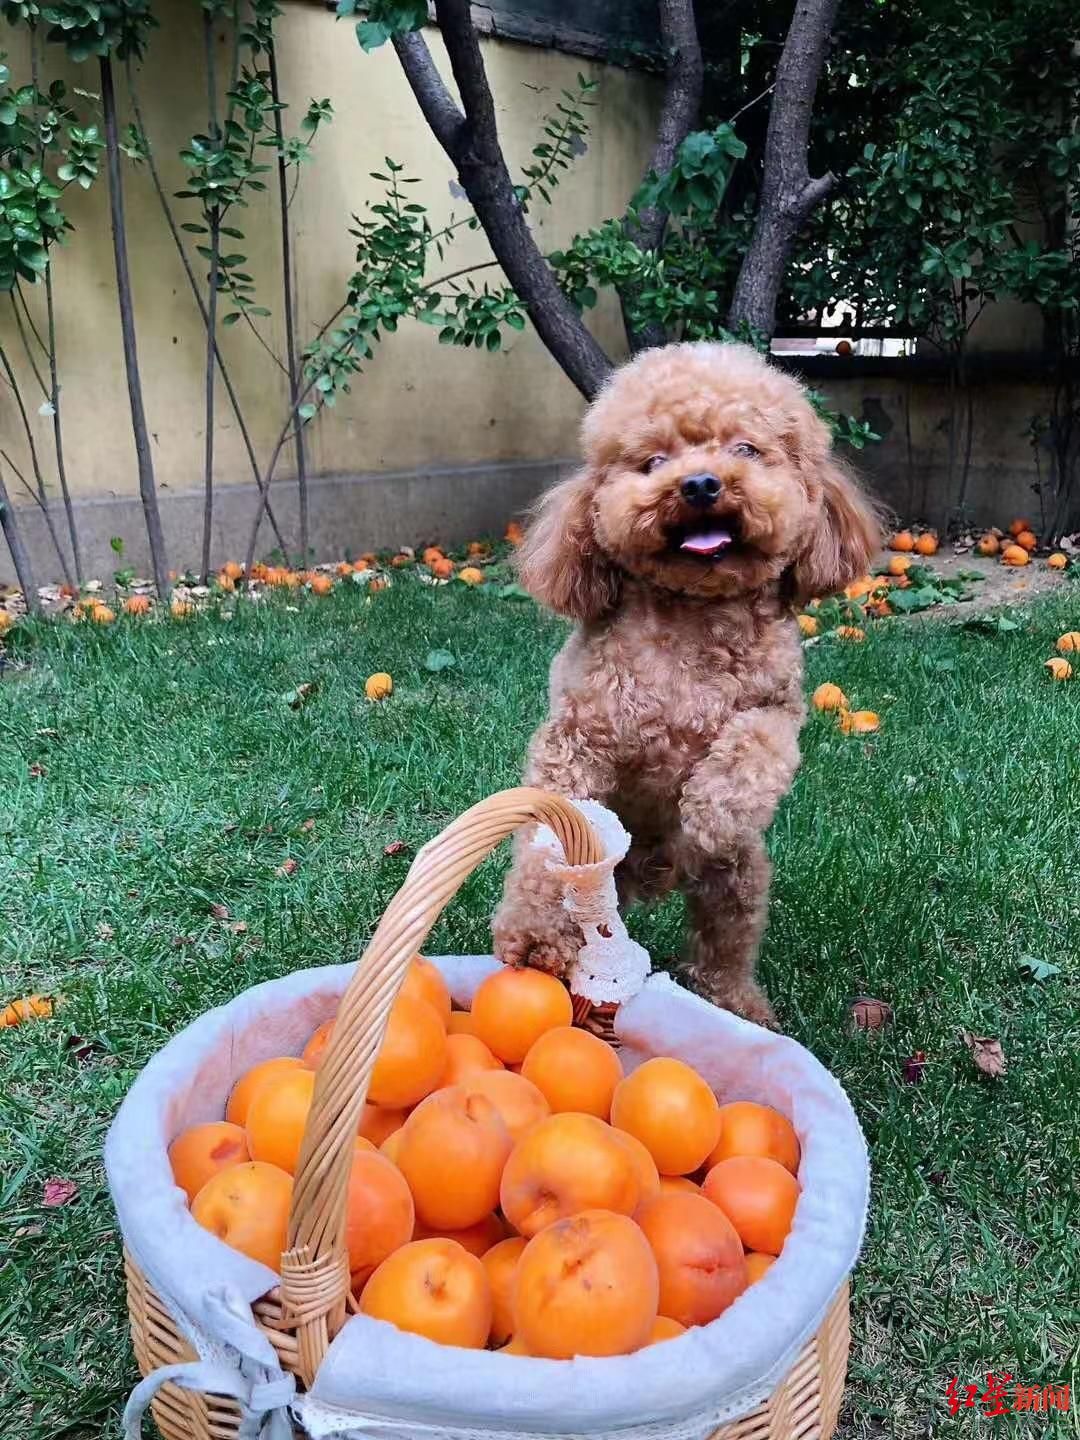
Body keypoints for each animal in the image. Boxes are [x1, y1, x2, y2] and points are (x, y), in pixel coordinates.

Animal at [495, 342, 881, 1031]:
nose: (700, 483)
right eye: (653, 460)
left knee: (724, 946)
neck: (693, 619)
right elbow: (550, 841)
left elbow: (753, 749)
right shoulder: (576, 741)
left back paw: (740, 1008)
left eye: (747, 449)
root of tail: (653, 873)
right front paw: (538, 936)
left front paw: (710, 812)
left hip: (740, 880)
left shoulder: (777, 709)